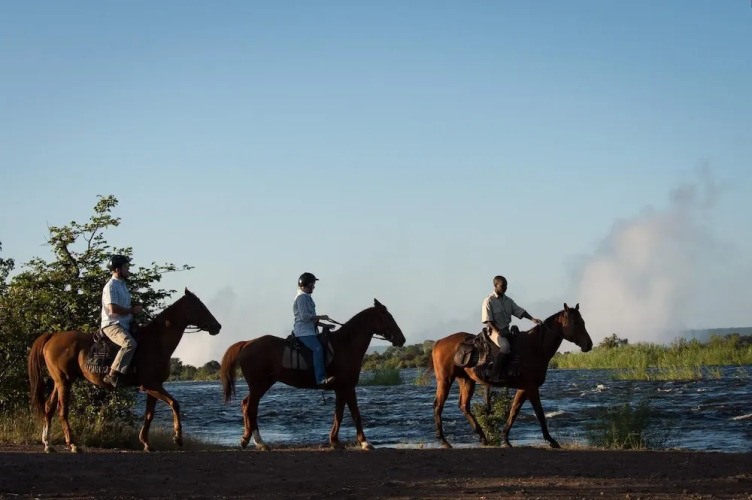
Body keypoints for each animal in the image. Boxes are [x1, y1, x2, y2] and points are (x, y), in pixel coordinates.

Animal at [27, 288, 222, 453]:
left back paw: (47, 444)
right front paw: (178, 438)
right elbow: (175, 404)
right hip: (64, 381)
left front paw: (146, 443)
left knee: (49, 407)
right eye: (200, 306)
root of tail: (52, 336)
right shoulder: (150, 385)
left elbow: (149, 414)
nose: (217, 326)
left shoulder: (154, 387)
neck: (156, 341)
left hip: (60, 382)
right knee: (62, 411)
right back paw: (73, 444)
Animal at [219, 298, 405, 451]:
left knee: (247, 405)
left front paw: (334, 441)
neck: (346, 344)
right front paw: (365, 442)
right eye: (387, 317)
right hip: (259, 385)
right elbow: (355, 414)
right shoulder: (348, 387)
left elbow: (338, 415)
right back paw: (257, 442)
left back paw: (250, 440)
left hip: (261, 385)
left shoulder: (340, 389)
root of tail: (247, 343)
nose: (401, 339)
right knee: (251, 408)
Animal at [432, 303, 593, 449]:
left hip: (466, 380)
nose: (589, 345)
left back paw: (483, 438)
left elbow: (514, 411)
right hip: (445, 379)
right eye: (575, 322)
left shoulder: (524, 388)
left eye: (583, 322)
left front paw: (506, 439)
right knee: (439, 405)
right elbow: (539, 413)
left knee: (464, 406)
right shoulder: (531, 387)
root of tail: (438, 342)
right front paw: (551, 440)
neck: (536, 347)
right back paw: (444, 441)